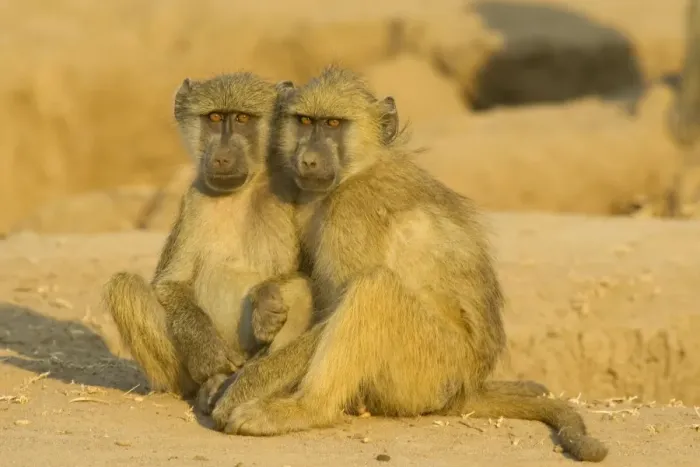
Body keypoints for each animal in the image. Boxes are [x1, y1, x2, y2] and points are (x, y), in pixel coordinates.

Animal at [102, 72, 314, 400]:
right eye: (214, 118)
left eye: (242, 118)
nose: (222, 158)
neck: (240, 193)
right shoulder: (194, 202)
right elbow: (170, 285)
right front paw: (209, 359)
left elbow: (308, 276)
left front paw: (264, 305)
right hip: (181, 375)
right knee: (124, 287)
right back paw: (210, 383)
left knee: (302, 290)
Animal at [204, 65, 608, 463]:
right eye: (305, 121)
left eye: (333, 124)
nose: (308, 160)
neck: (360, 168)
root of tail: (467, 387)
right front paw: (266, 304)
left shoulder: (352, 214)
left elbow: (334, 306)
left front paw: (238, 388)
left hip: (430, 371)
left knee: (375, 288)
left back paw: (304, 409)